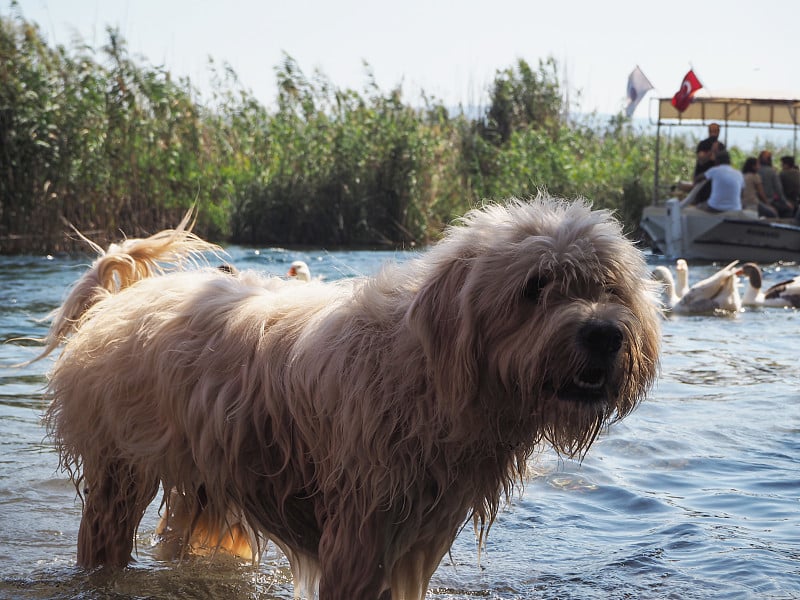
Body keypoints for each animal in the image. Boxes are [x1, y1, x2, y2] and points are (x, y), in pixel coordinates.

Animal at [40, 198, 660, 600]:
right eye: (535, 286)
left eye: (608, 286)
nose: (605, 334)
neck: (430, 372)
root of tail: (115, 300)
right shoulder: (363, 526)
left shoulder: (418, 528)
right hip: (119, 472)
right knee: (104, 540)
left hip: (209, 483)